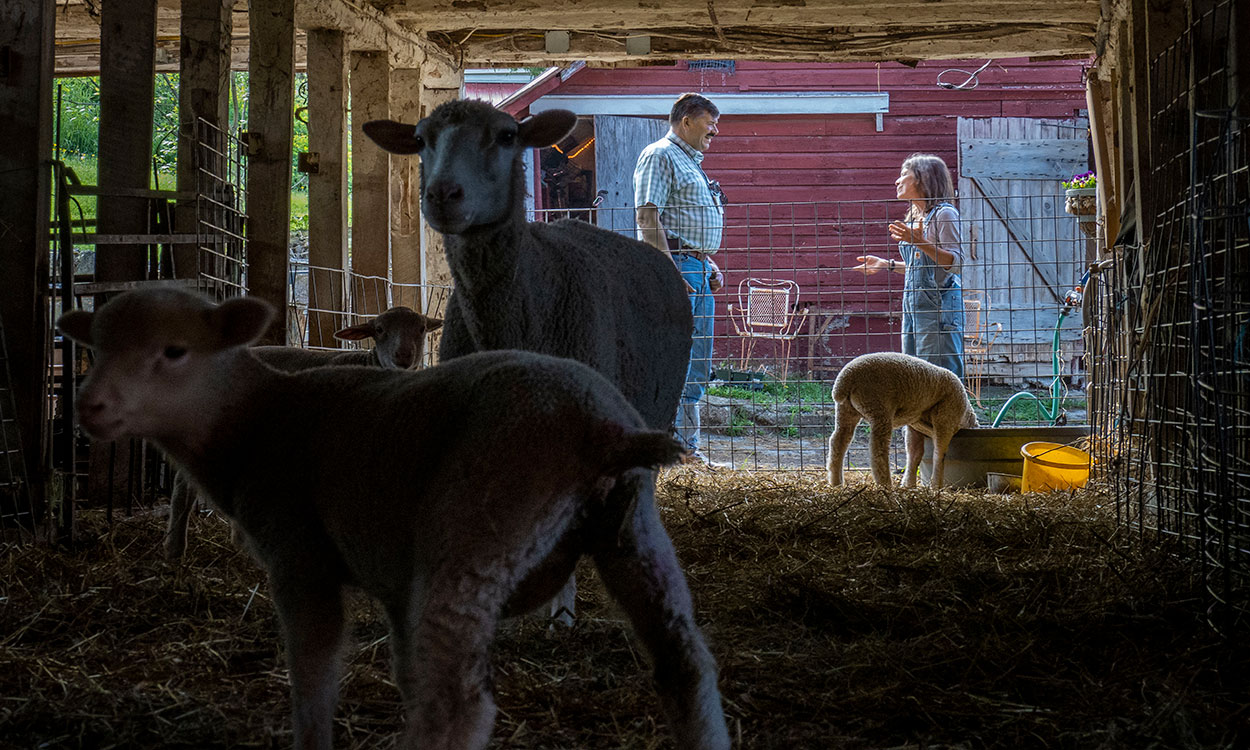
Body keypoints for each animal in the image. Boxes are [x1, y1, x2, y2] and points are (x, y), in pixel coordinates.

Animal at [825, 352, 980, 490]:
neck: (966, 414)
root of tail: (845, 380)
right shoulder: (945, 419)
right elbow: (939, 453)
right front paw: (936, 485)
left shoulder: (914, 426)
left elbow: (914, 453)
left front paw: (909, 484)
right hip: (879, 408)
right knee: (878, 450)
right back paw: (885, 484)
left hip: (846, 410)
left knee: (838, 441)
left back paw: (836, 482)